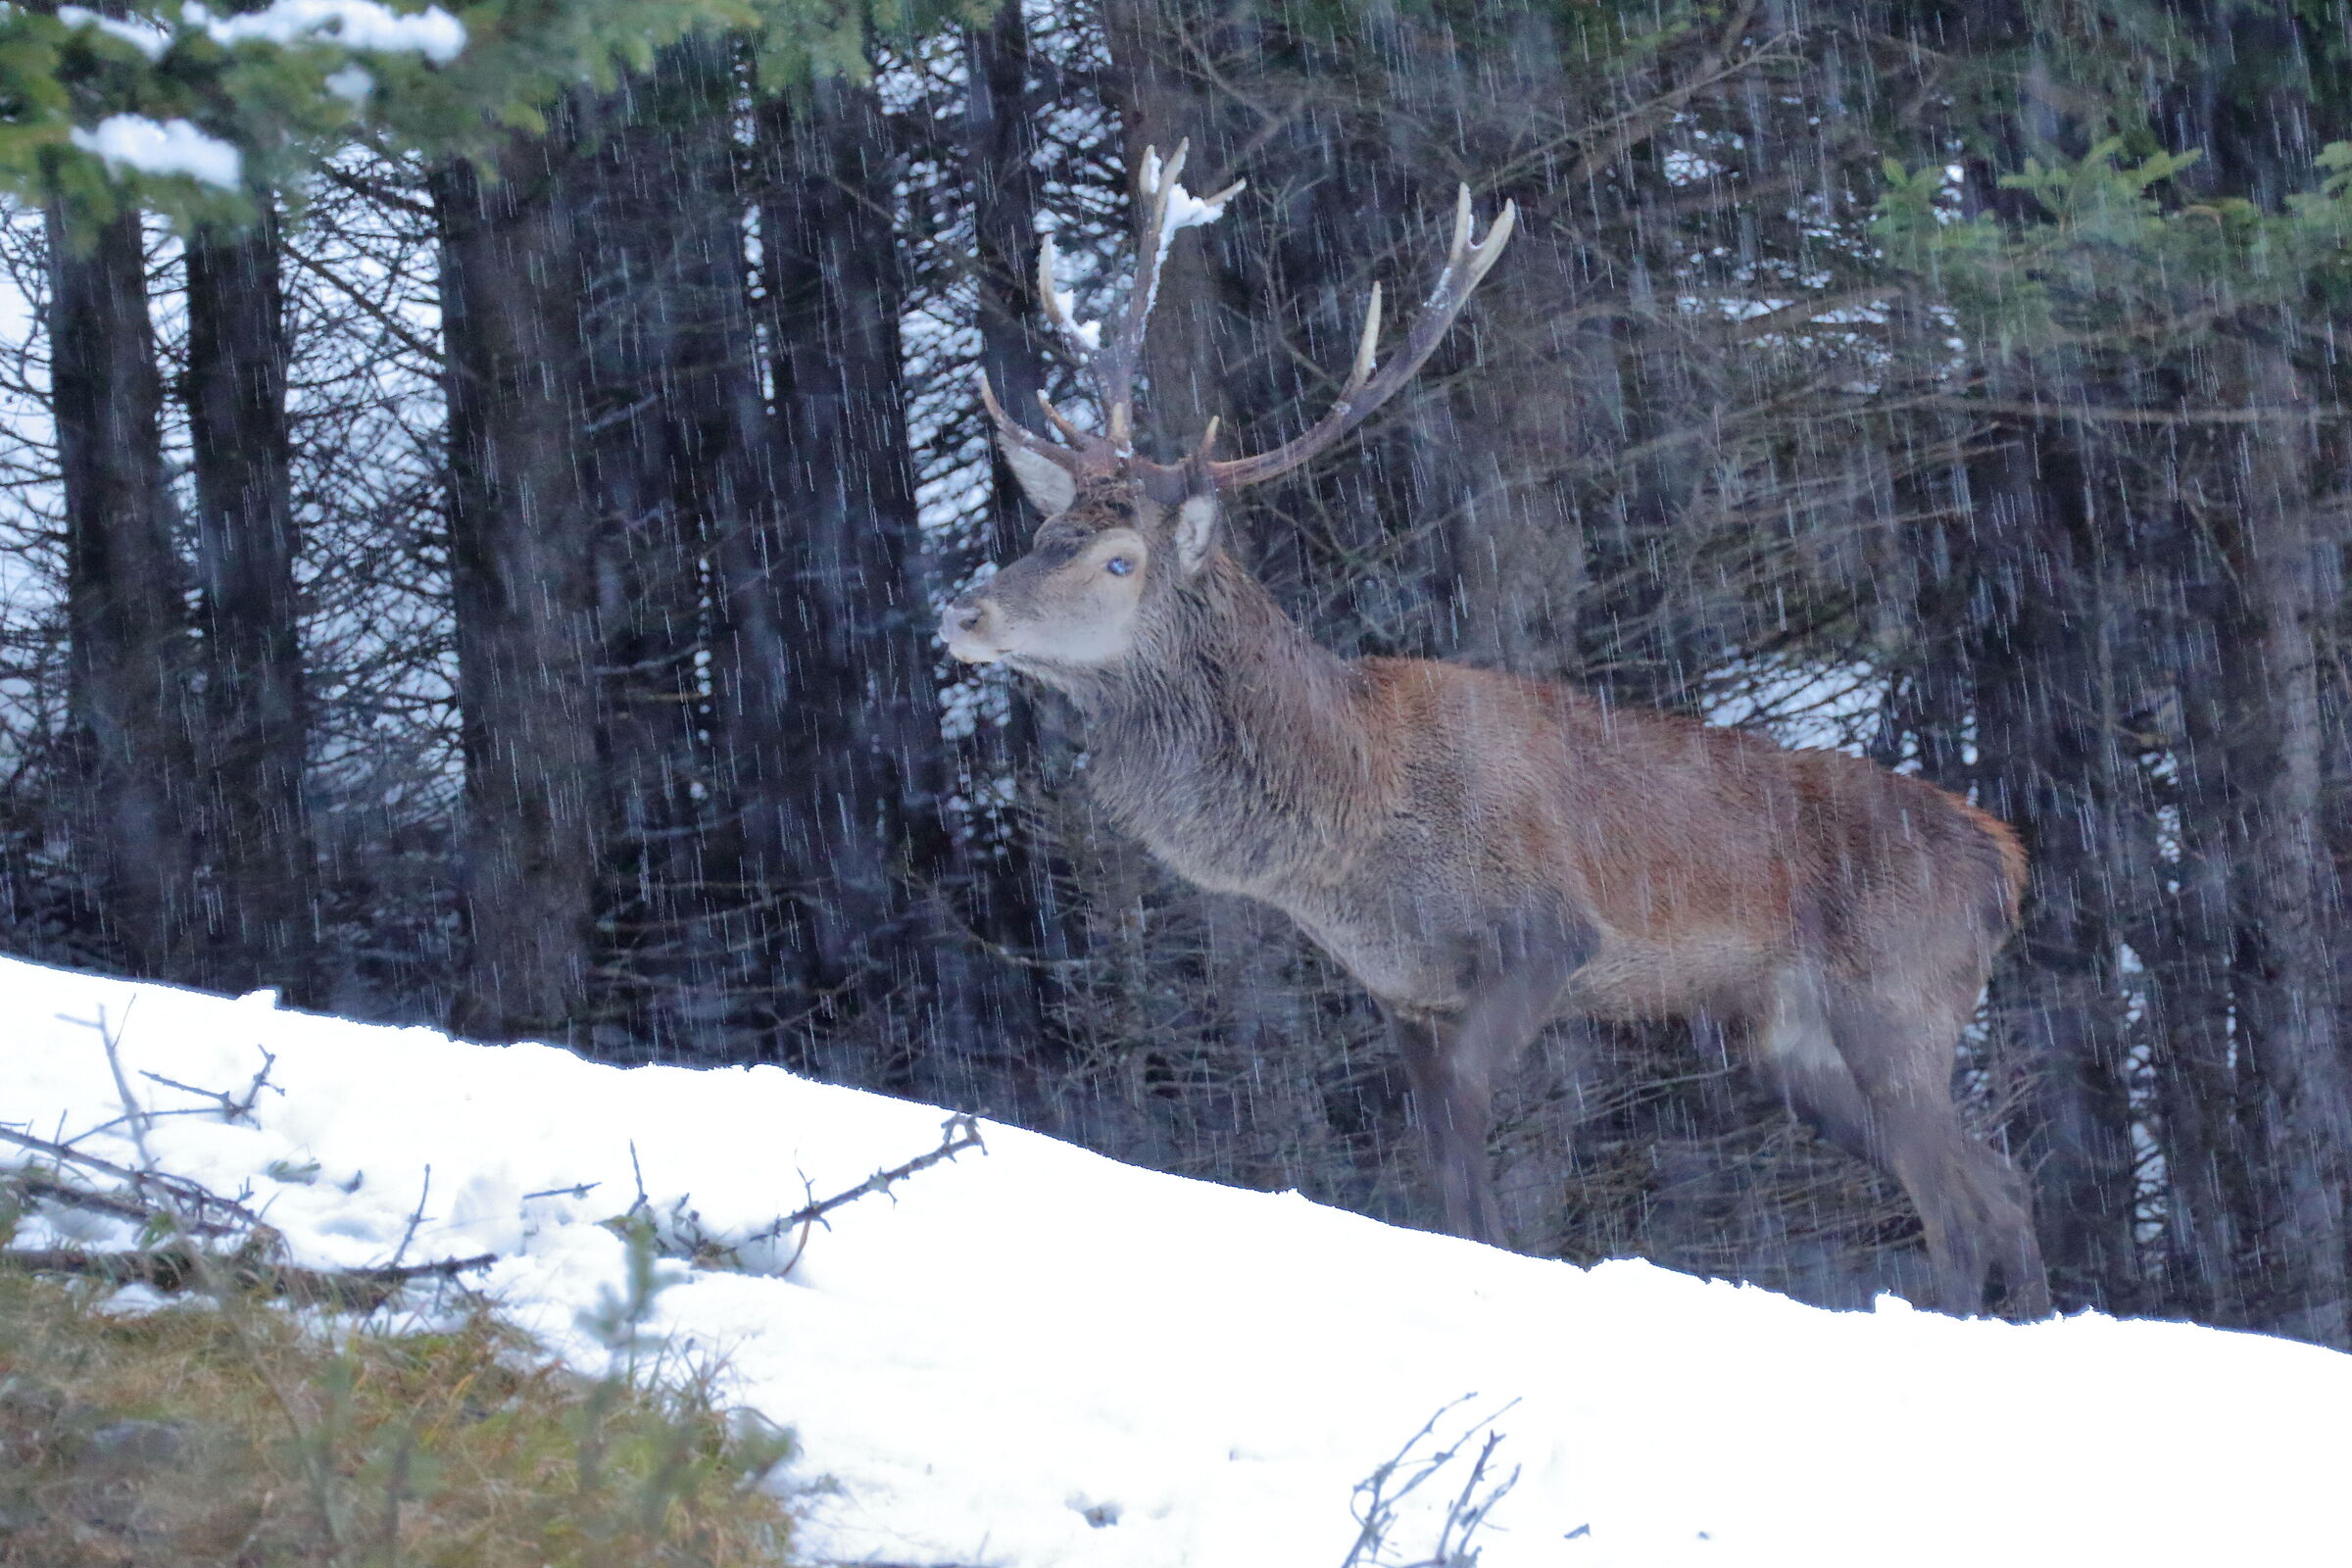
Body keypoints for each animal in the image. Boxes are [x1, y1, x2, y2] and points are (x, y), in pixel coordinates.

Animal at [943, 144, 2052, 1318]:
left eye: (1119, 560)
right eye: (1045, 529)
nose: (963, 613)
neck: (1352, 825)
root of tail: (2008, 863)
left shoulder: (1547, 935)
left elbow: (1472, 1128)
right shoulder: (1405, 992)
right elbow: (1439, 1150)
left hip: (1898, 995)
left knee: (1958, 1205)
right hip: (1790, 1040)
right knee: (2002, 1182)